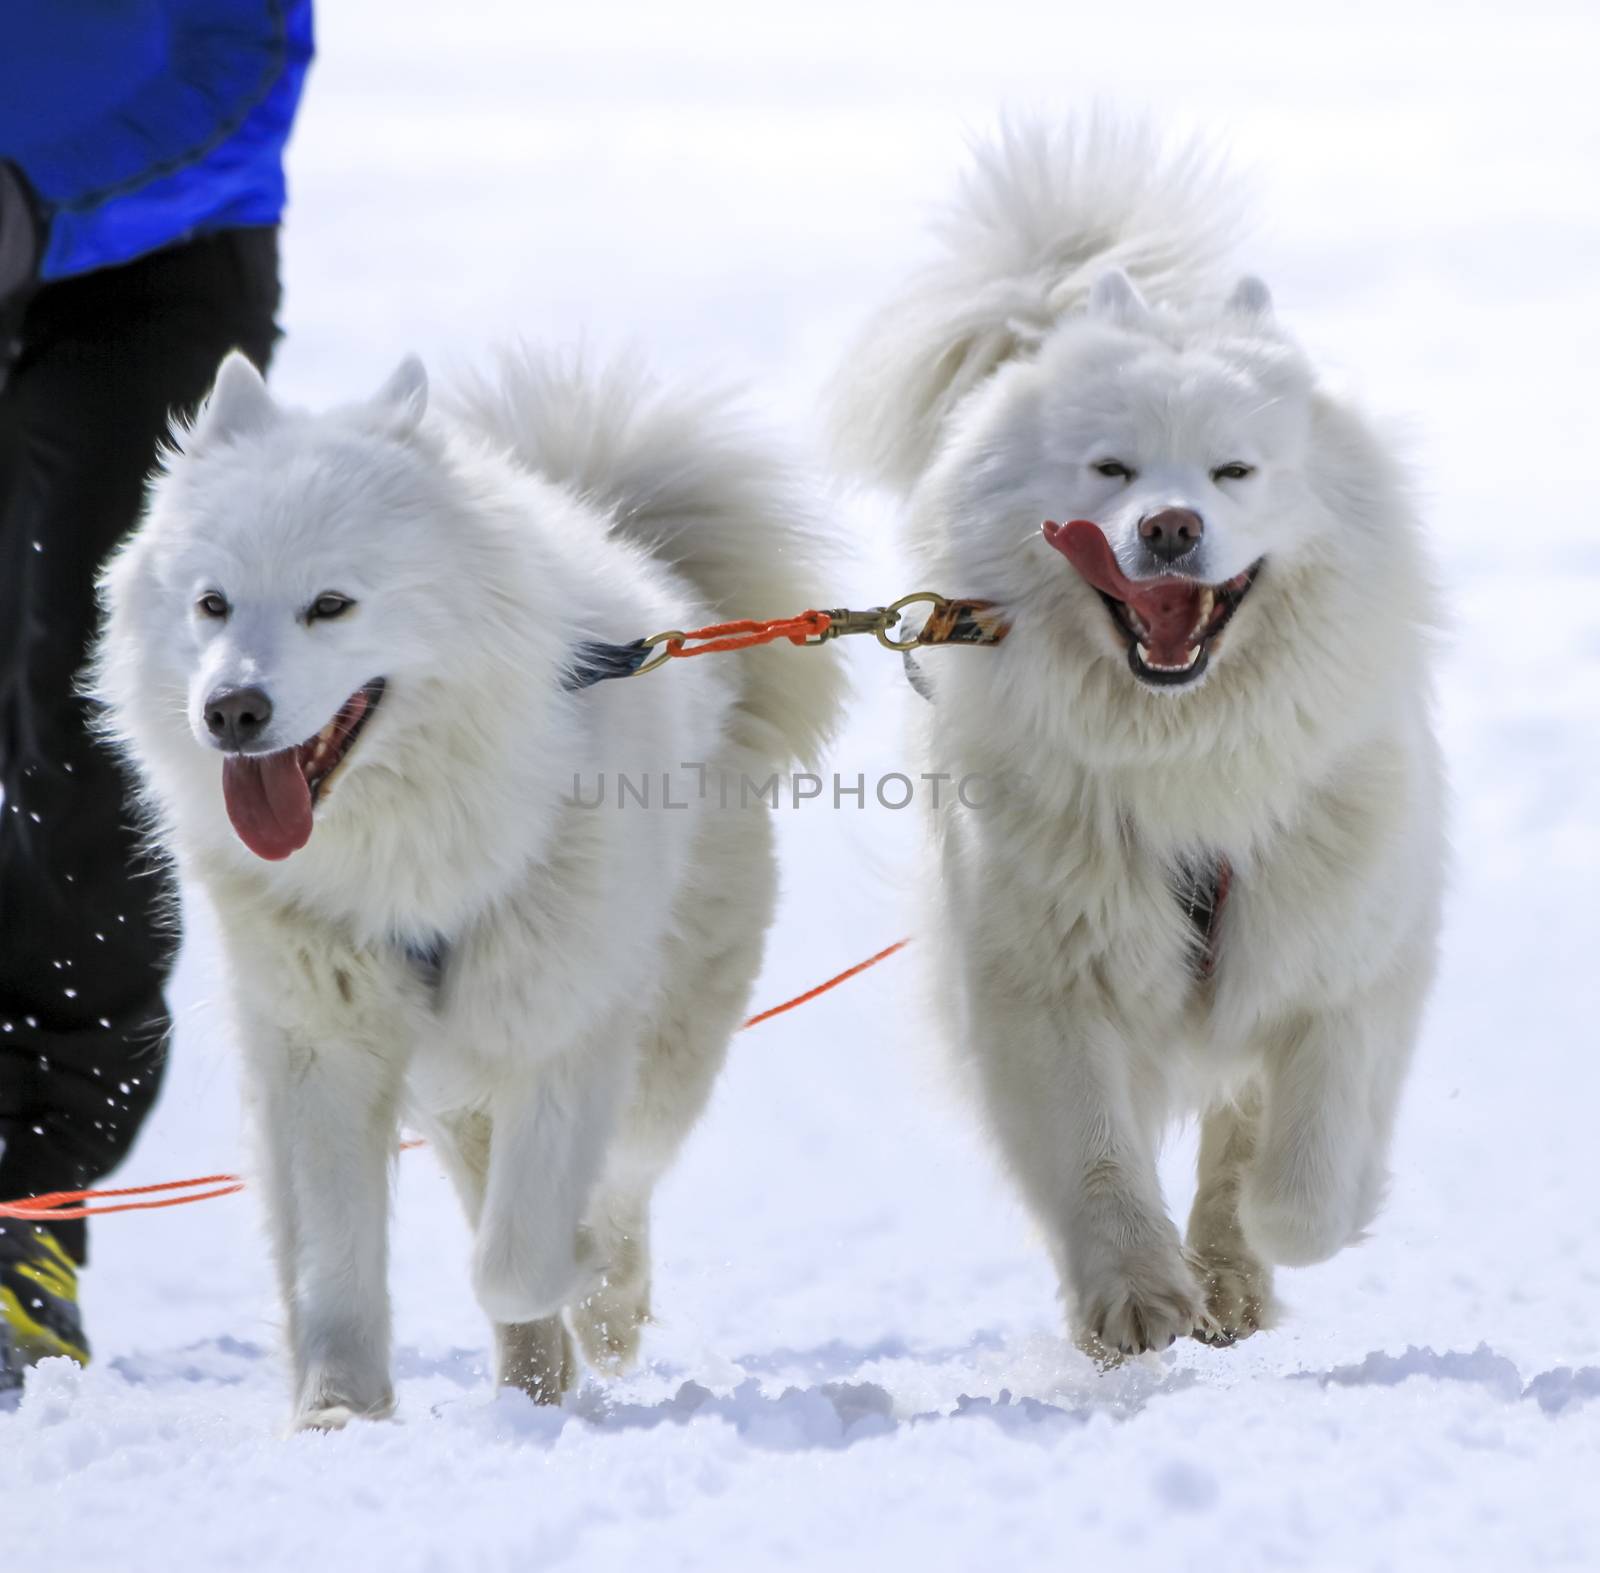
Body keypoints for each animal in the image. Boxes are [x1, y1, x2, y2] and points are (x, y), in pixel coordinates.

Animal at [96, 347, 851, 1427]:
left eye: (332, 604)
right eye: (213, 603)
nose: (231, 710)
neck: (408, 851)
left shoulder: (559, 1023)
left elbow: (518, 1258)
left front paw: (580, 1273)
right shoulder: (320, 1038)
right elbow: (334, 1260)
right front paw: (336, 1410)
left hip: (661, 1034)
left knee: (622, 1180)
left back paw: (604, 1314)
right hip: (463, 1075)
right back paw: (534, 1381)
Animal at [838, 120, 1452, 1350]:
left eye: (1234, 469)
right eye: (1112, 467)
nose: (1169, 526)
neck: (1184, 753)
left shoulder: (1348, 945)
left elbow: (1311, 1150)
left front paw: (1274, 1231)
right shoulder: (1040, 971)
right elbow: (1095, 1157)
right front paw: (1133, 1300)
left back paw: (1236, 1270)